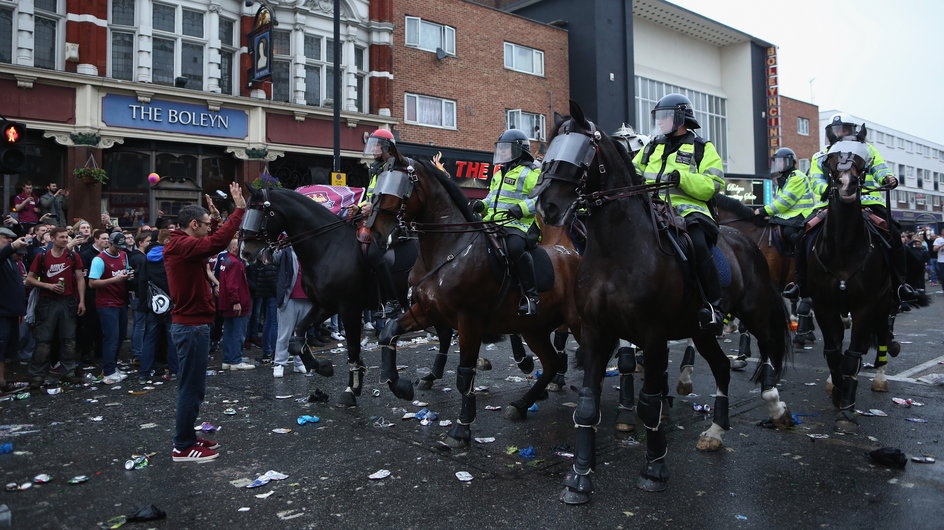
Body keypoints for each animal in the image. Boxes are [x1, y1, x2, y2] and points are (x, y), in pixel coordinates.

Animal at [238, 188, 456, 406]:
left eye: (260, 212)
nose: (246, 253)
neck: (328, 246)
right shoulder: (325, 305)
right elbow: (297, 336)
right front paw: (323, 367)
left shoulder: (349, 308)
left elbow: (352, 349)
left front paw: (351, 389)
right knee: (445, 334)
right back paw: (430, 377)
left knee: (446, 333)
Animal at [368, 155, 584, 444]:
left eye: (400, 185)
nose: (375, 233)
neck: (450, 249)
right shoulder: (426, 310)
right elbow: (389, 332)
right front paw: (400, 385)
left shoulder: (469, 320)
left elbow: (464, 373)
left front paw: (462, 427)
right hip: (534, 329)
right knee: (551, 363)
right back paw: (522, 404)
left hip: (577, 324)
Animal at [536, 101, 792, 502]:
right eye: (549, 150)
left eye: (580, 149)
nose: (547, 205)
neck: (617, 251)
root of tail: (743, 239)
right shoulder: (595, 332)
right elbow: (588, 404)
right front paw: (579, 477)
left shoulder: (653, 336)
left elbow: (649, 403)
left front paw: (654, 469)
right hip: (703, 330)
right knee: (721, 368)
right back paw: (716, 430)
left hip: (755, 312)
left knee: (769, 349)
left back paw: (775, 405)